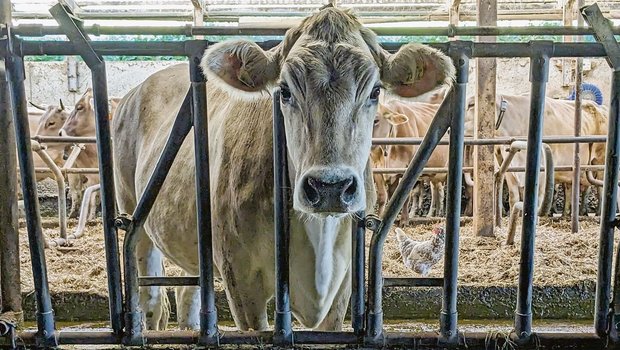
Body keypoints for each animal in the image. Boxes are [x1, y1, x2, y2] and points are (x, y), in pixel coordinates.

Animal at [111, 4, 452, 330]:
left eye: (375, 91)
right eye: (285, 91)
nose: (330, 188)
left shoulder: (342, 289)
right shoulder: (242, 284)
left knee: (188, 289)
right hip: (133, 211)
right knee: (151, 296)